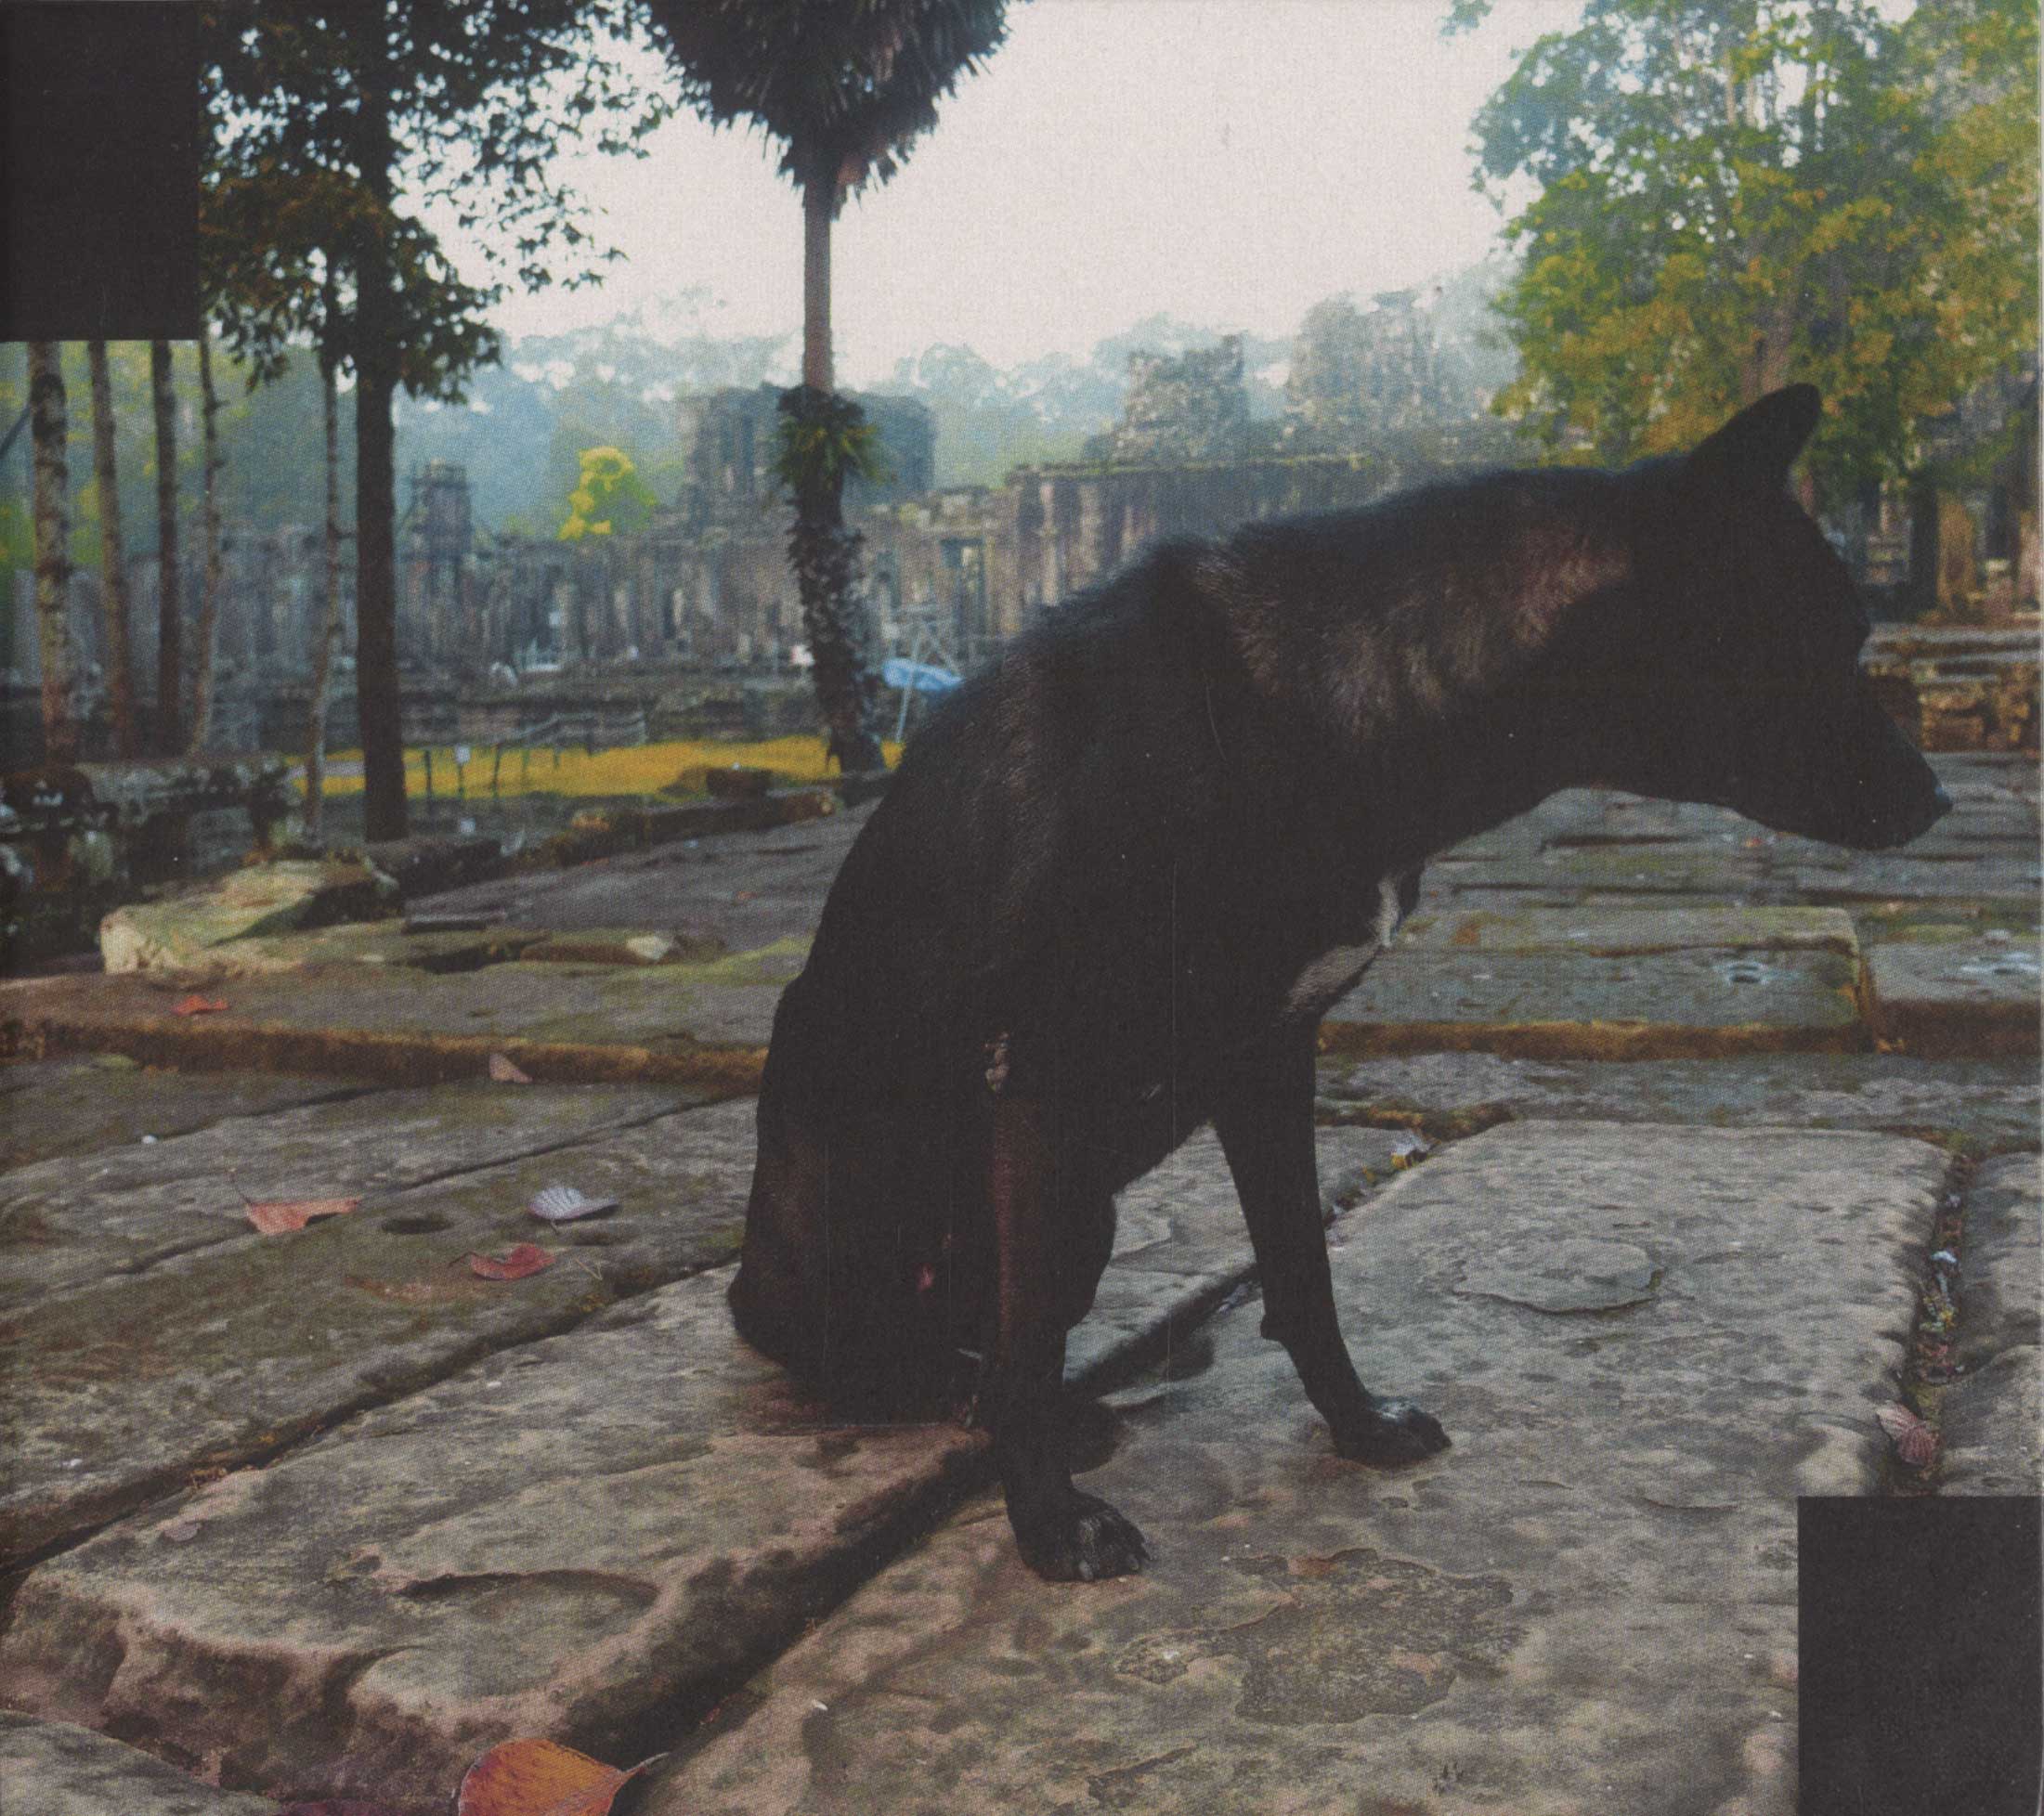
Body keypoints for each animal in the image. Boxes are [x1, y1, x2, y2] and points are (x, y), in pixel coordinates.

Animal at [731, 382, 1946, 1576]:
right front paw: (1048, 1525)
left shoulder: (1271, 1061)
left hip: (1085, 1214)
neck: (1291, 715)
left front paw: (1354, 1428)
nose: (1938, 801)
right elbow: (1029, 1348)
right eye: (1828, 640)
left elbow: (1302, 1276)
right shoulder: (1045, 1070)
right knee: (920, 1362)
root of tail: (746, 1281)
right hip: (977, 1221)